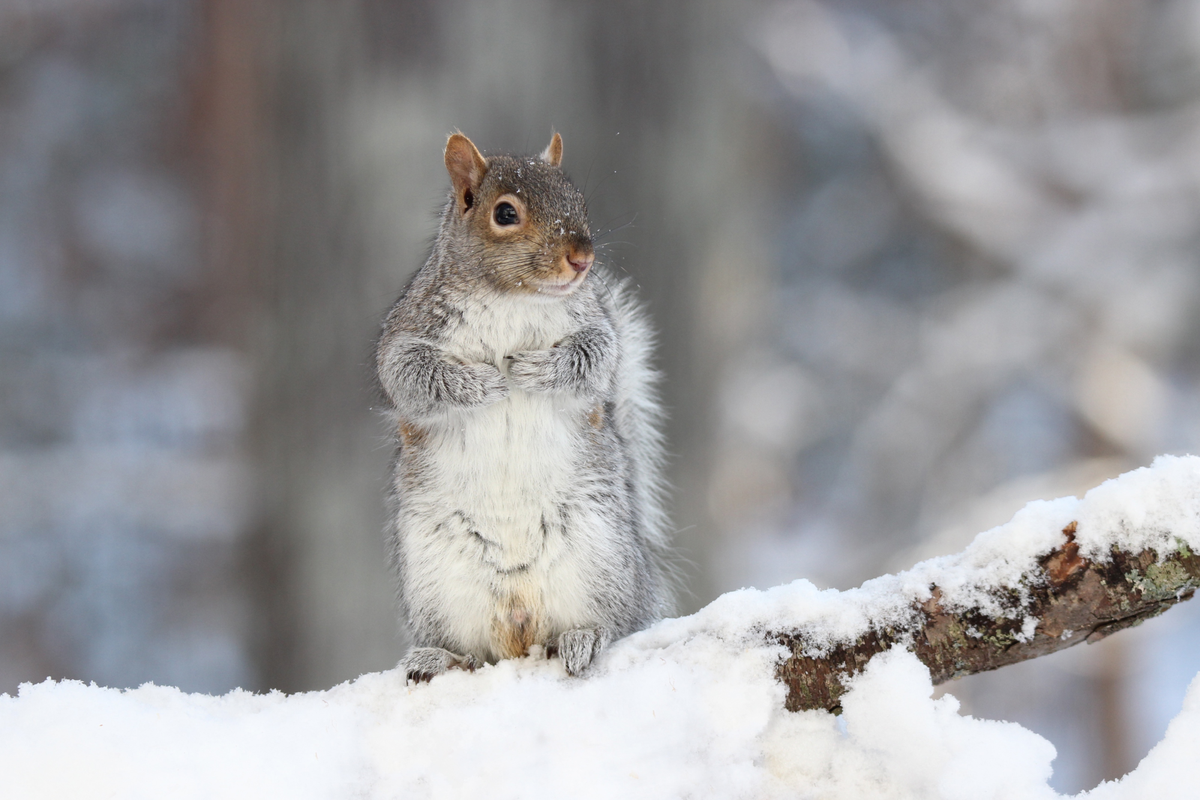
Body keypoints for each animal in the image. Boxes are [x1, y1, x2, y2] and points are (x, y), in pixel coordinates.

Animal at [375, 132, 672, 680]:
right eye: (505, 213)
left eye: (578, 201)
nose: (583, 258)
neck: (515, 298)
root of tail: (520, 625)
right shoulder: (408, 332)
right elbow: (410, 376)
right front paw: (485, 382)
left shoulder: (594, 327)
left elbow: (596, 358)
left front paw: (534, 371)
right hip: (436, 582)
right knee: (470, 649)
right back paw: (438, 657)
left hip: (599, 557)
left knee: (611, 622)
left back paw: (584, 637)